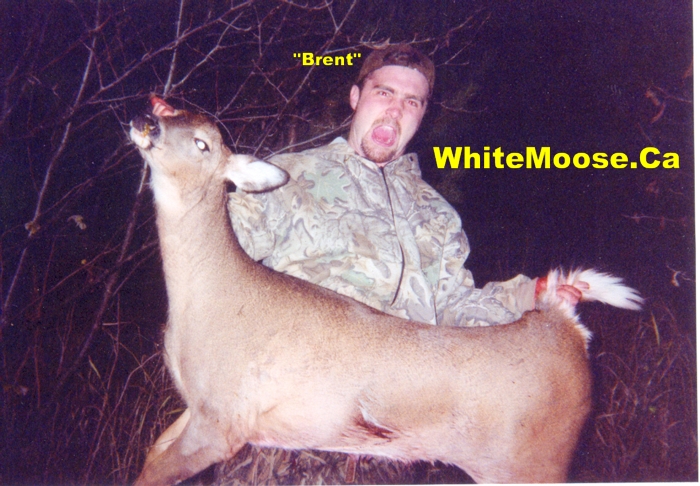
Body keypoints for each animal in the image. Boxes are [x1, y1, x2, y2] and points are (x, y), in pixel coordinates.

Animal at [129, 97, 643, 485]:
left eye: (203, 143)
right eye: (173, 112)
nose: (146, 120)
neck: (210, 293)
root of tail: (565, 325)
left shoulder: (224, 417)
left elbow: (154, 473)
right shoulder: (197, 408)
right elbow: (151, 453)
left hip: (536, 461)